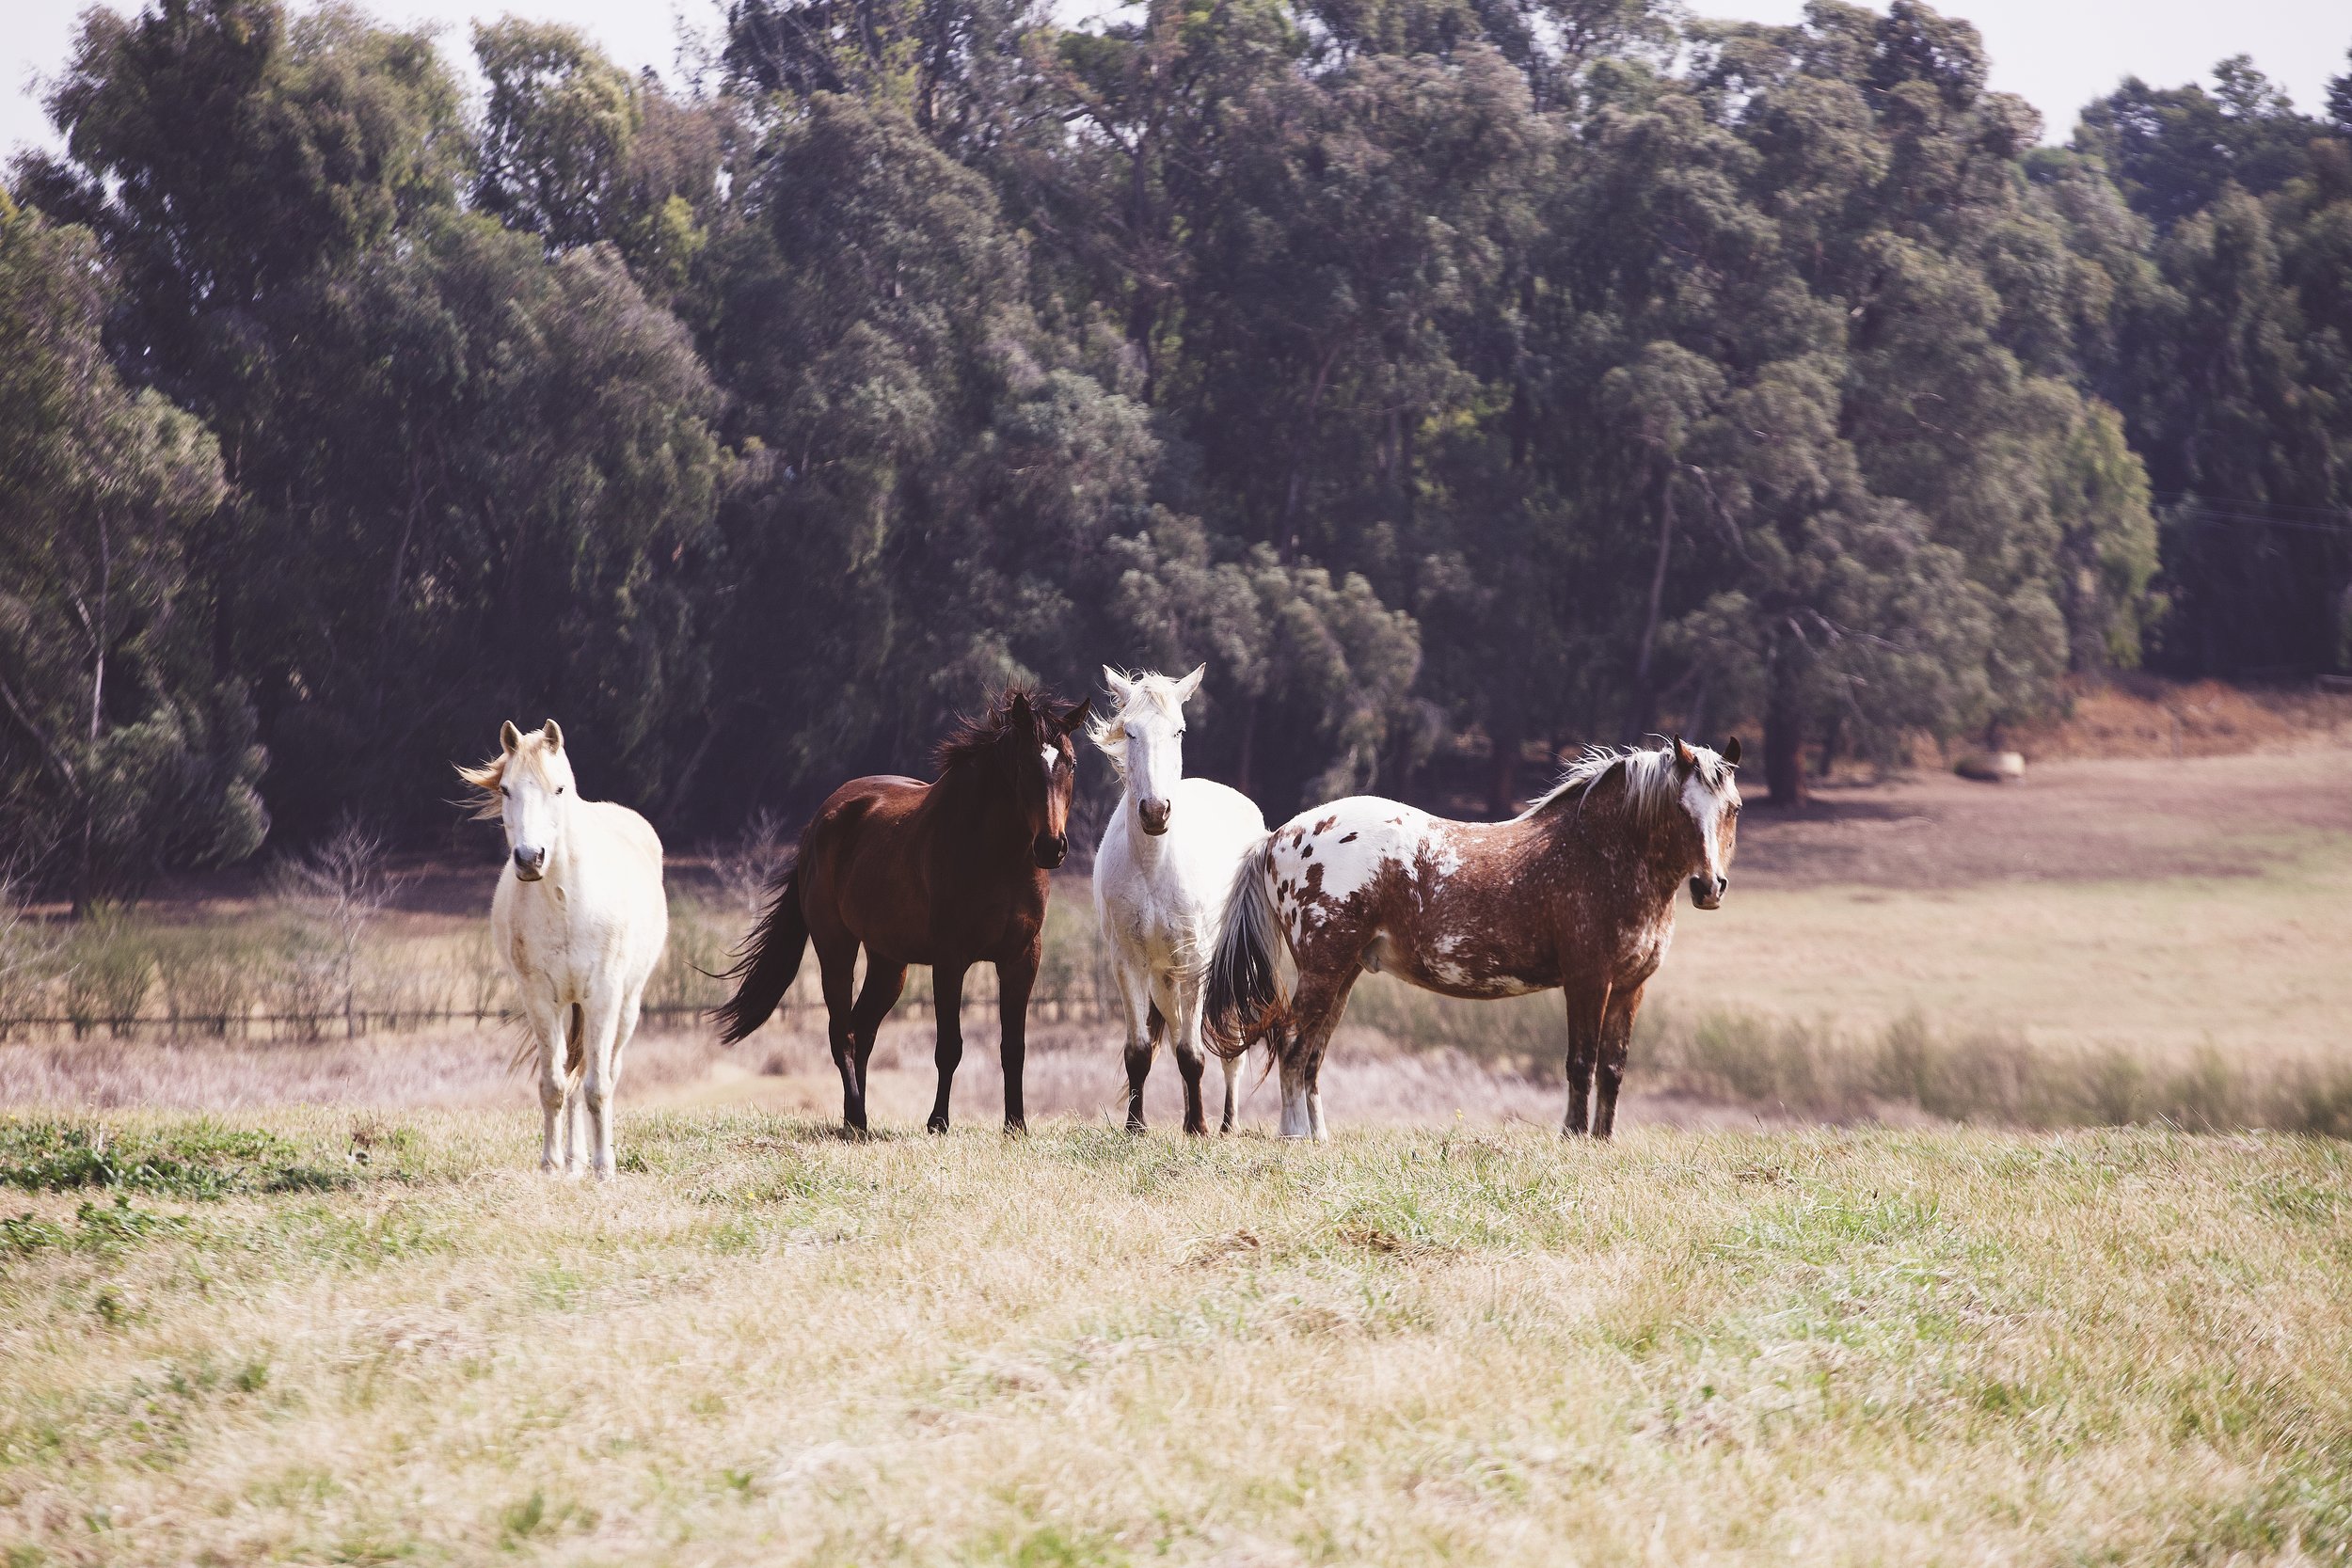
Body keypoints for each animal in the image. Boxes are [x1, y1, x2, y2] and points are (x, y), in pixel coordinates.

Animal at [458, 723, 668, 1175]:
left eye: (558, 789)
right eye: (505, 789)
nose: (529, 859)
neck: (566, 903)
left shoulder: (603, 998)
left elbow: (598, 1086)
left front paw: (605, 1168)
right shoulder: (541, 999)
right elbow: (554, 1084)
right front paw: (551, 1164)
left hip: (626, 1007)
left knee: (605, 1072)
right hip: (572, 1008)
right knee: (571, 1073)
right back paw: (573, 1161)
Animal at [706, 690, 1091, 1132]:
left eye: (1071, 763)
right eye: (1025, 764)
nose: (1051, 847)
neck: (997, 855)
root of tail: (818, 823)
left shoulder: (1022, 958)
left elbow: (1014, 1047)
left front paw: (1016, 1126)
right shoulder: (950, 960)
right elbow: (949, 1046)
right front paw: (937, 1122)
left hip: (889, 963)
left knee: (863, 1028)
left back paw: (854, 1117)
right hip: (835, 949)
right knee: (843, 1033)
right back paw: (857, 1120)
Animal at [1087, 667, 1270, 1132]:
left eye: (1179, 730)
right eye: (1129, 731)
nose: (1156, 811)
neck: (1154, 865)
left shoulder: (1194, 962)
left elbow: (1194, 1053)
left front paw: (1200, 1129)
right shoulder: (1128, 962)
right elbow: (1140, 1051)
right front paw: (1136, 1127)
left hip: (1227, 971)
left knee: (1231, 1049)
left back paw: (1226, 1125)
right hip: (1163, 979)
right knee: (1174, 1034)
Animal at [1204, 737, 1740, 1142]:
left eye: (1733, 808)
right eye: (1680, 807)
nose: (1709, 886)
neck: (1601, 854)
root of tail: (1277, 837)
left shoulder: (1631, 987)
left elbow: (1612, 1067)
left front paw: (1602, 1141)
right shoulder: (1588, 981)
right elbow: (1581, 1063)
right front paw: (1573, 1138)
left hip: (1344, 974)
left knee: (1312, 1055)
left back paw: (1318, 1138)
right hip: (1323, 970)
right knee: (1293, 1045)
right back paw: (1294, 1136)